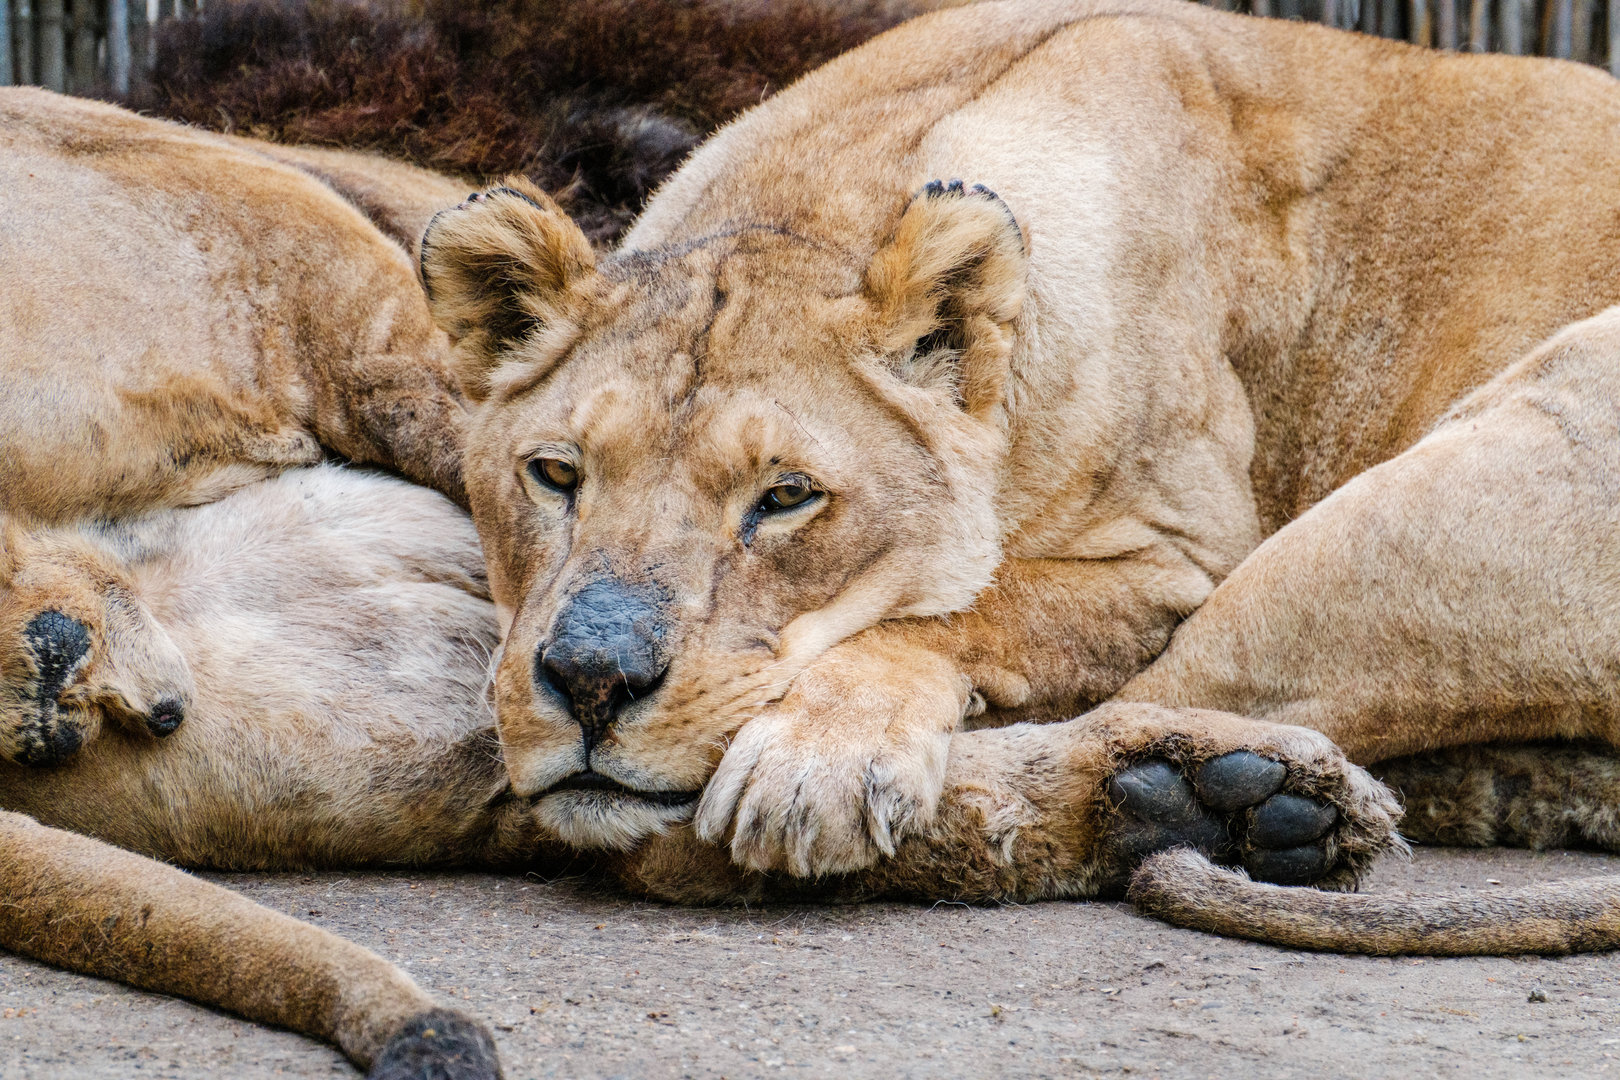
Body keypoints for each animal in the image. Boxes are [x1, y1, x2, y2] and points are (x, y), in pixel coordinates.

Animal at [413, 0, 1620, 953]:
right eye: (555, 474)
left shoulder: (1177, 558)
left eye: (787, 497)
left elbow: (967, 607)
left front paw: (816, 757)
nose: (590, 682)